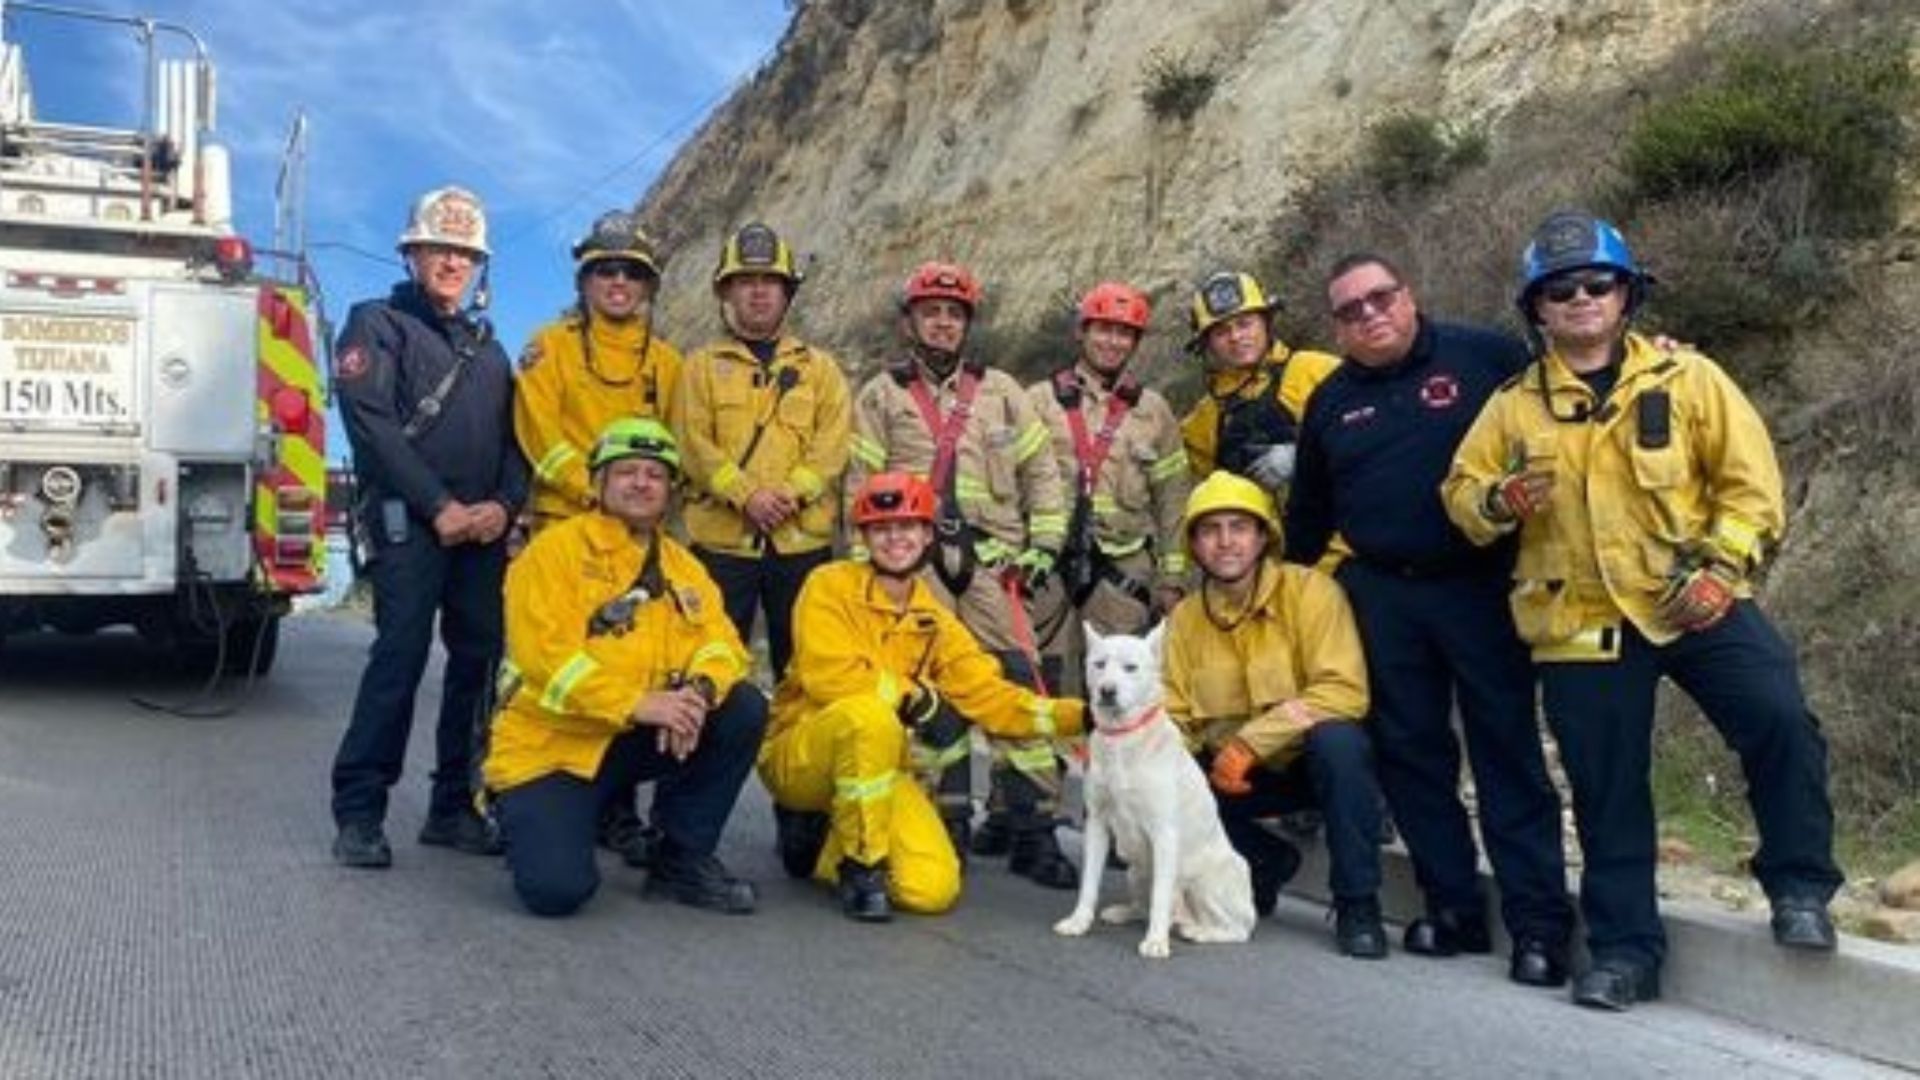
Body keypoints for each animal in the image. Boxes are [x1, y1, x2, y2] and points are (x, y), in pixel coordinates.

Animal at [1052, 618, 1259, 953]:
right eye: (1099, 664)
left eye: (1130, 668)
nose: (1107, 690)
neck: (1122, 740)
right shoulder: (1097, 824)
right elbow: (1089, 884)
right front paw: (1079, 921)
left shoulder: (1164, 834)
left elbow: (1161, 896)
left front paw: (1156, 942)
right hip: (1136, 869)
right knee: (1145, 905)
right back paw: (1127, 912)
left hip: (1207, 881)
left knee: (1236, 930)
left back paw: (1199, 932)